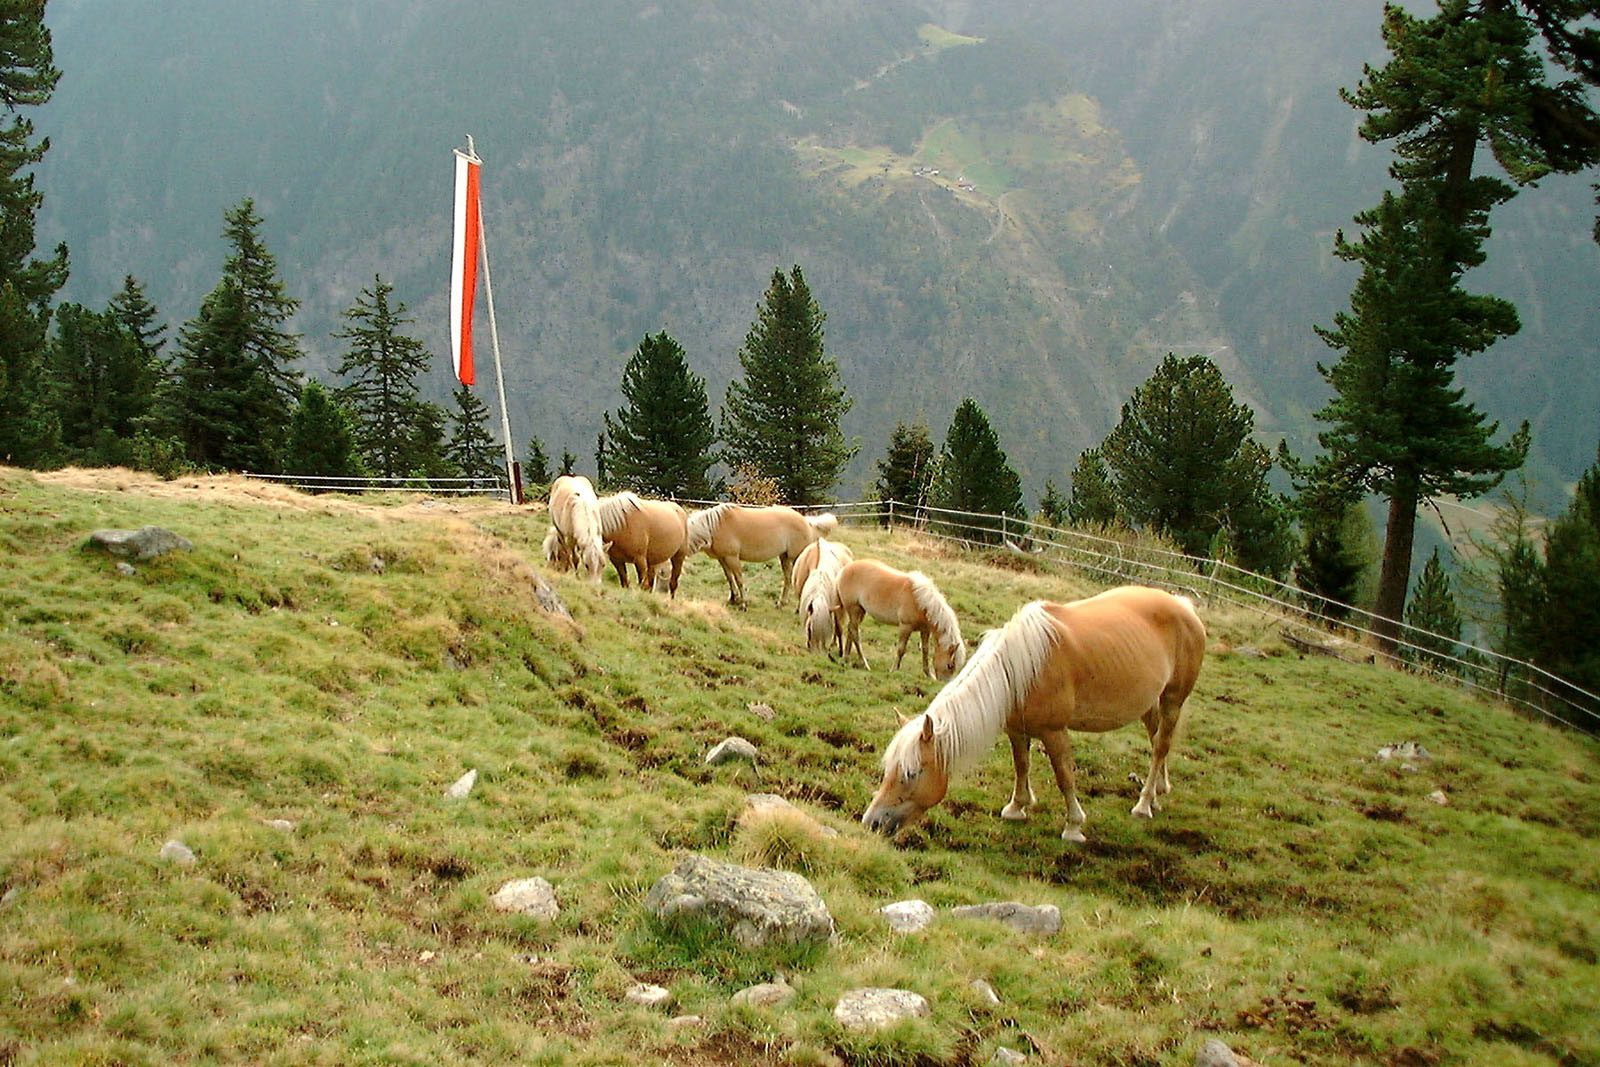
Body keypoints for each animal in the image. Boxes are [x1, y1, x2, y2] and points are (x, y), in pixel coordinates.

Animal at [685, 503, 837, 608]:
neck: (715, 526)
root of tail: (807, 522)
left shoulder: (732, 557)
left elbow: (739, 579)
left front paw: (743, 603)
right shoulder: (722, 559)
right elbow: (729, 578)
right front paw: (733, 599)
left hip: (797, 557)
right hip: (784, 557)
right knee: (788, 578)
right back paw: (781, 603)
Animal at [833, 559, 967, 680]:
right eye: (950, 665)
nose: (944, 683)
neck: (921, 602)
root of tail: (844, 569)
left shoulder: (925, 630)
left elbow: (925, 651)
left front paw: (929, 674)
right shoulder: (905, 627)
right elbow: (901, 649)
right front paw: (894, 670)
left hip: (860, 612)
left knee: (850, 630)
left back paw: (846, 658)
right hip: (854, 610)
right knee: (855, 634)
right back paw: (865, 664)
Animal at [861, 586, 1205, 844]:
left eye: (911, 773)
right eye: (888, 769)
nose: (872, 822)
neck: (1020, 670)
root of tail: (1183, 606)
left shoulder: (1054, 732)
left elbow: (1064, 776)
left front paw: (1073, 826)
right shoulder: (1016, 729)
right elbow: (1021, 766)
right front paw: (1017, 808)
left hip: (1173, 699)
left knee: (1160, 746)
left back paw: (1144, 803)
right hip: (1149, 702)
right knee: (1157, 739)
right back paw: (1159, 791)